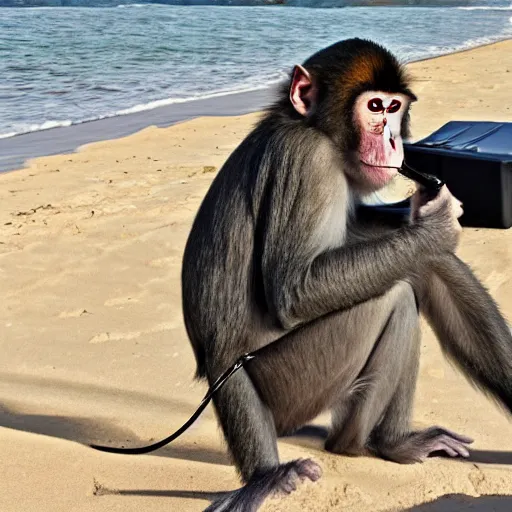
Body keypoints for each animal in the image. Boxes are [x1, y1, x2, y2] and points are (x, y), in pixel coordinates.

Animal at [180, 38, 512, 510]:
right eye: (375, 107)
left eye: (394, 107)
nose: (393, 141)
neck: (317, 131)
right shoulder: (307, 161)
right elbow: (295, 290)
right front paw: (437, 225)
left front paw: (422, 214)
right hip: (291, 385)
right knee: (392, 299)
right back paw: (340, 450)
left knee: (421, 267)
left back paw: (392, 442)